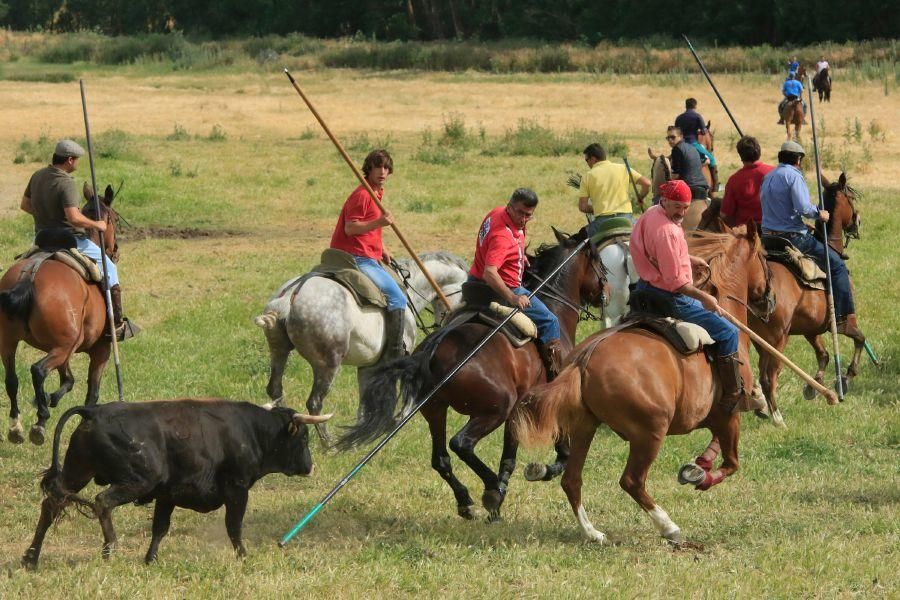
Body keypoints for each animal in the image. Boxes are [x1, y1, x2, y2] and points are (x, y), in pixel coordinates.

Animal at [0, 186, 119, 446]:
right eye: (115, 220)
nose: (115, 251)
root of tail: (29, 274)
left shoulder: (67, 348)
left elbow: (68, 380)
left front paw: (46, 398)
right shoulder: (100, 349)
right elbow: (91, 393)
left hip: (10, 342)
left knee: (11, 379)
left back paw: (17, 426)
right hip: (63, 346)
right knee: (38, 370)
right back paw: (40, 422)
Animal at [23, 398, 330, 568]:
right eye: (303, 437)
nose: (310, 466)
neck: (251, 431)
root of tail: (94, 411)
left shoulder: (167, 495)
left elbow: (160, 528)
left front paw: (150, 559)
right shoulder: (237, 487)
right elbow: (234, 526)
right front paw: (243, 556)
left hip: (77, 472)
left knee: (51, 503)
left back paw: (31, 557)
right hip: (137, 479)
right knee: (102, 502)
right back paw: (110, 548)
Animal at [251, 251, 468, 442]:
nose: (450, 323)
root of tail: (287, 300)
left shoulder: (367, 366)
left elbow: (364, 404)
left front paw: (359, 433)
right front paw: (393, 423)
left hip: (279, 351)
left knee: (275, 390)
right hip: (328, 364)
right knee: (315, 402)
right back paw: (328, 444)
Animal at [336, 230, 604, 520]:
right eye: (599, 261)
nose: (606, 292)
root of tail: (432, 351)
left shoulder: (516, 411)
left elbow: (509, 458)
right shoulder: (537, 403)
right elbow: (557, 454)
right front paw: (531, 475)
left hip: (436, 409)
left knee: (440, 458)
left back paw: (466, 500)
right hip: (495, 409)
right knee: (461, 443)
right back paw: (491, 488)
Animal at [512, 227, 768, 548]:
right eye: (765, 258)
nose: (769, 299)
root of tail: (583, 361)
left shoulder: (716, 417)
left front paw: (697, 468)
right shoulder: (728, 414)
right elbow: (732, 462)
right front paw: (700, 476)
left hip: (584, 427)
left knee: (572, 479)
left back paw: (593, 532)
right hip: (650, 433)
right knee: (632, 481)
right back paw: (669, 527)